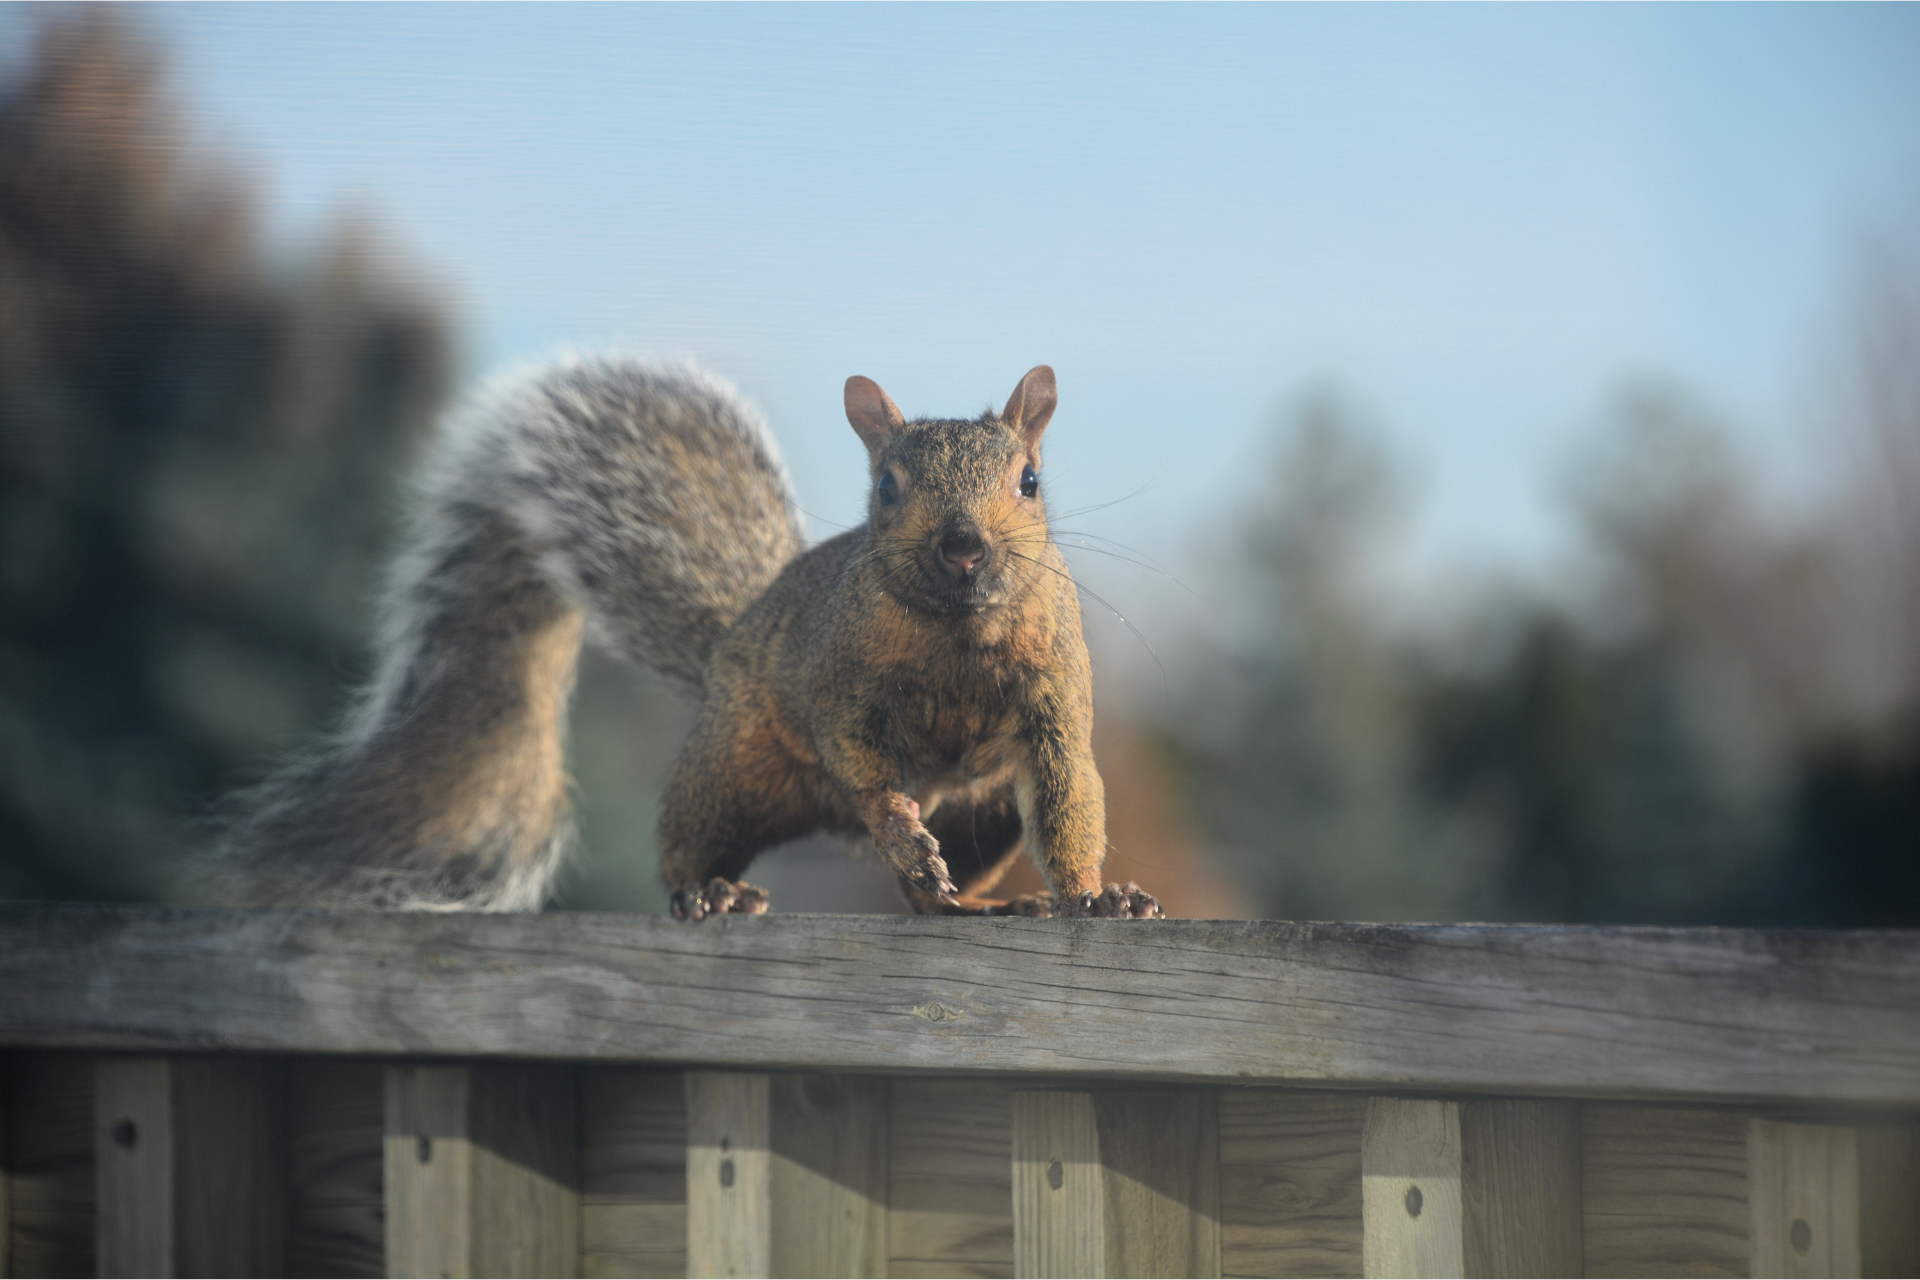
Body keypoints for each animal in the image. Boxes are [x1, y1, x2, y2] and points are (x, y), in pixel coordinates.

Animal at [210, 353, 1167, 921]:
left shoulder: (1052, 705)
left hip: (982, 820)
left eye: (1030, 480)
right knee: (692, 843)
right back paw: (712, 892)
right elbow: (859, 759)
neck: (956, 633)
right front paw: (896, 821)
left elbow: (1068, 798)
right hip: (731, 767)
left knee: (943, 888)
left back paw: (970, 901)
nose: (963, 546)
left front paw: (1100, 897)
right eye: (887, 487)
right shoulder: (839, 682)